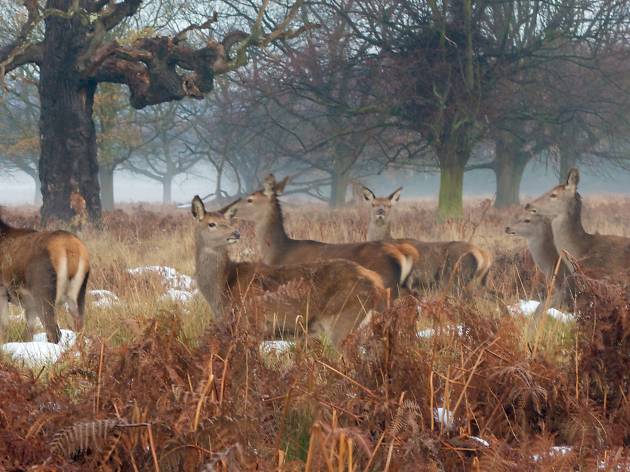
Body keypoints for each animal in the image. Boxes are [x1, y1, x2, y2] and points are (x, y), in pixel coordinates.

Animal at [191, 195, 390, 346]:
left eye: (228, 221)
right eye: (211, 224)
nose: (236, 233)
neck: (222, 288)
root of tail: (378, 285)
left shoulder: (251, 327)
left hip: (343, 321)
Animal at [360, 185, 494, 290]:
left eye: (389, 205)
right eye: (373, 204)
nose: (380, 211)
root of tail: (485, 256)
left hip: (455, 277)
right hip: (479, 282)